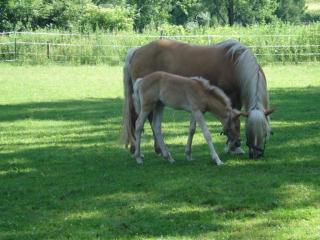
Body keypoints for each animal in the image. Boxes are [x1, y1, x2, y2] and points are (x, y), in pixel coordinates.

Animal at [121, 39, 274, 159]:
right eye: (250, 132)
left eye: (266, 133)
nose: (256, 155)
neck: (234, 64)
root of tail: (136, 50)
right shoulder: (229, 97)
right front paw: (232, 147)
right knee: (137, 118)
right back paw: (136, 150)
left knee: (152, 121)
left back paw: (158, 150)